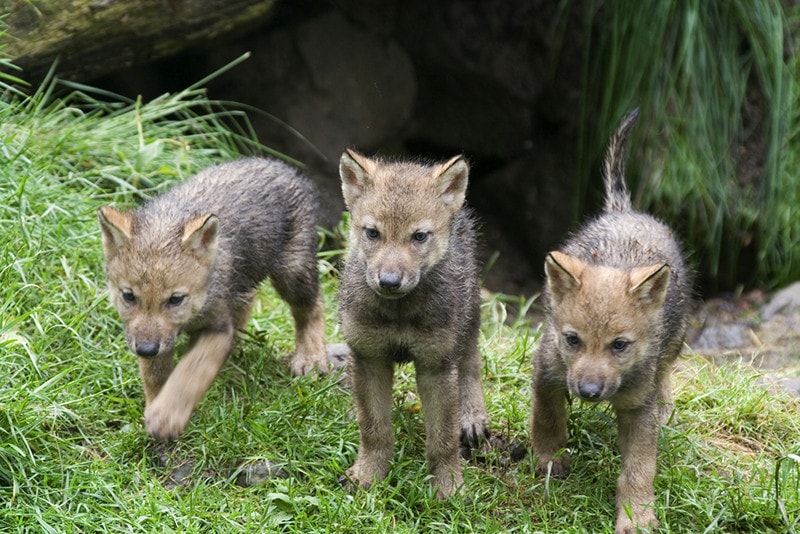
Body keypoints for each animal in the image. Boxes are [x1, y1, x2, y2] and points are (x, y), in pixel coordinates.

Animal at [98, 157, 329, 442]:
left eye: (175, 299)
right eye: (129, 296)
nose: (146, 350)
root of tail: (281, 165)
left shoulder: (217, 329)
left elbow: (190, 373)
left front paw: (167, 416)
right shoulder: (154, 337)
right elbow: (156, 378)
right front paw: (154, 409)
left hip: (292, 273)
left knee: (313, 306)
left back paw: (311, 358)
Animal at [337, 149, 490, 499]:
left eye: (419, 236)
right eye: (372, 233)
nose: (389, 281)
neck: (399, 314)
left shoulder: (436, 365)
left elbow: (443, 440)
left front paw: (449, 487)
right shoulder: (368, 357)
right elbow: (374, 429)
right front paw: (367, 475)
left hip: (469, 318)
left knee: (471, 364)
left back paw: (472, 417)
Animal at [530, 109, 690, 533]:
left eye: (619, 345)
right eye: (572, 340)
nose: (588, 391)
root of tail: (624, 211)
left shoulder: (638, 410)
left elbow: (638, 469)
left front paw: (637, 516)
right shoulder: (546, 371)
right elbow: (548, 420)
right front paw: (549, 460)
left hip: (676, 339)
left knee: (666, 371)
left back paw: (667, 406)